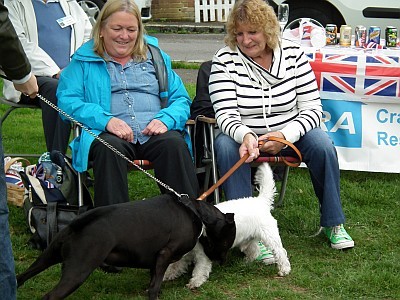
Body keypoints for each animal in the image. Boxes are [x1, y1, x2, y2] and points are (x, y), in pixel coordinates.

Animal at [17, 193, 234, 298]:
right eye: (226, 241)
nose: (222, 262)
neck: (194, 211)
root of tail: (77, 223)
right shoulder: (165, 255)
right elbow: (154, 287)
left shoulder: (156, 262)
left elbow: (153, 282)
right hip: (77, 273)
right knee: (49, 297)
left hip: (45, 259)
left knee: (20, 278)